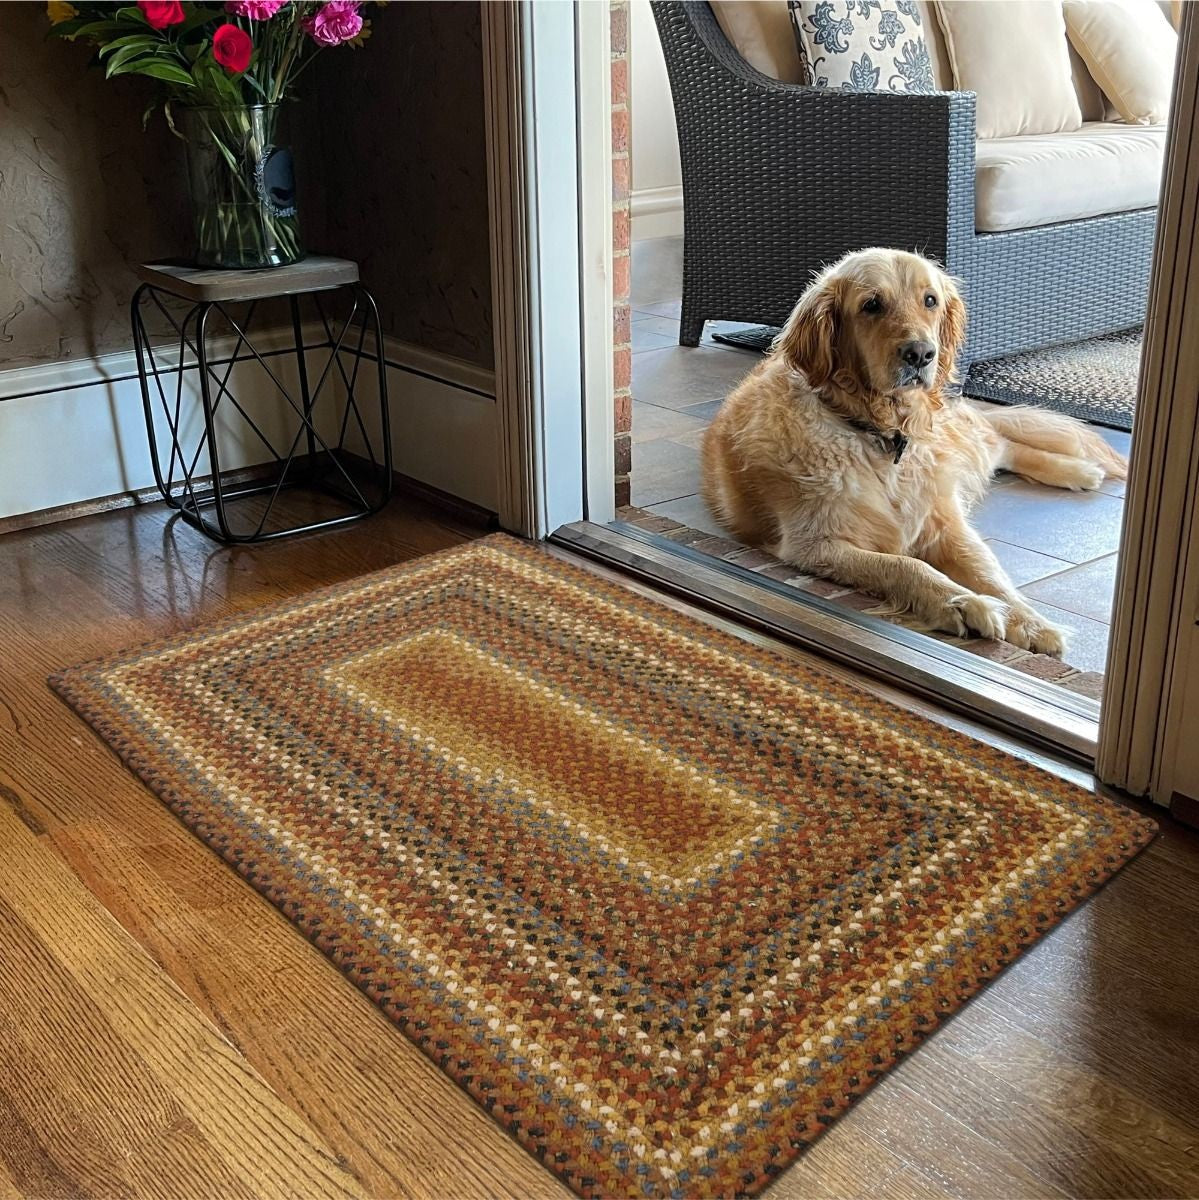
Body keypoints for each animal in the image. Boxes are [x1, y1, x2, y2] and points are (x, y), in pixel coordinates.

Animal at [700, 247, 1123, 652]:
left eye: (930, 300)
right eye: (871, 304)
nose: (921, 354)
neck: (883, 435)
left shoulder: (945, 523)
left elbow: (989, 573)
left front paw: (1031, 621)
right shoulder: (815, 544)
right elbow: (905, 565)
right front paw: (961, 603)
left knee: (1001, 440)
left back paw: (1079, 471)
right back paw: (1083, 472)